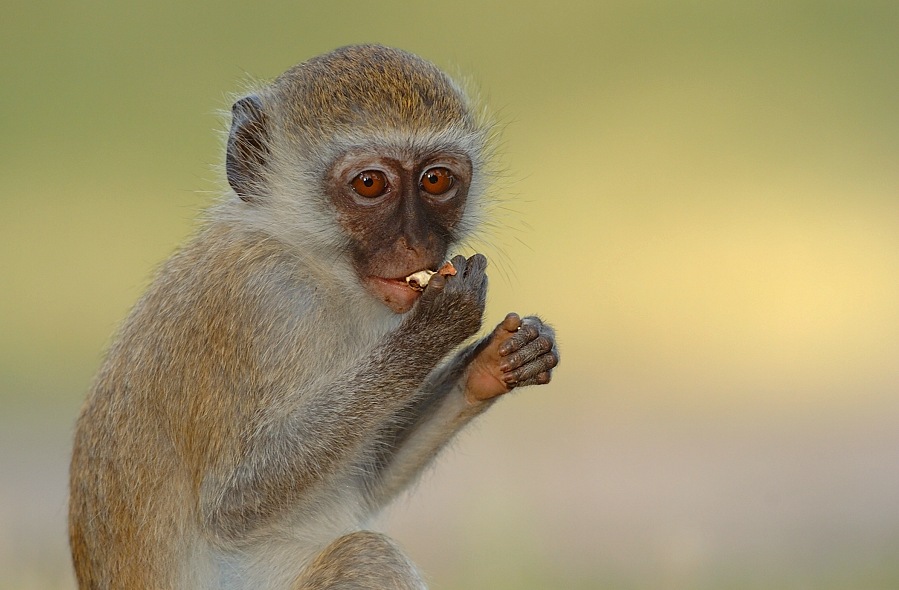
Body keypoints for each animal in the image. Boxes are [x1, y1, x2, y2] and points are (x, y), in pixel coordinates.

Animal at [69, 44, 559, 590]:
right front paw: (434, 329)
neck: (313, 264)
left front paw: (496, 361)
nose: (416, 243)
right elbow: (230, 505)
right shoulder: (265, 302)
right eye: (370, 183)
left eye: (435, 180)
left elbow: (366, 479)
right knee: (367, 555)